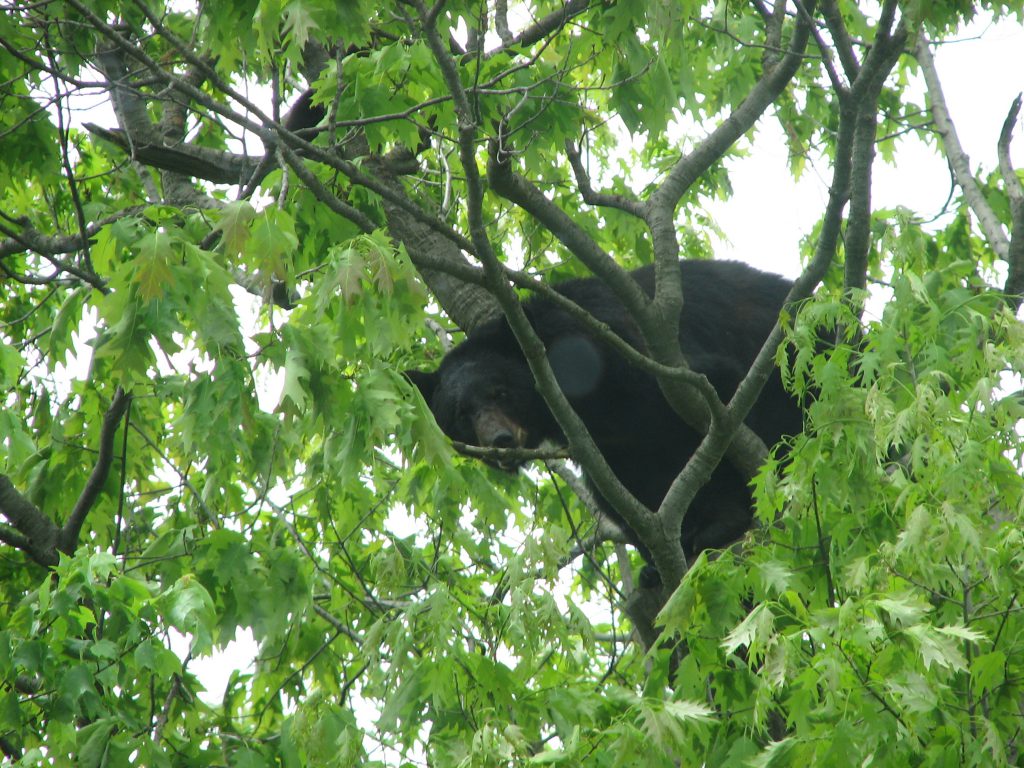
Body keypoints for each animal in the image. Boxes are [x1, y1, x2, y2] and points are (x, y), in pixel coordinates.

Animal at [405, 262, 798, 569]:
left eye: (498, 392)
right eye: (461, 414)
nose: (499, 441)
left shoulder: (622, 355)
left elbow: (715, 406)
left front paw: (722, 520)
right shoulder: (607, 441)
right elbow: (624, 484)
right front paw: (659, 553)